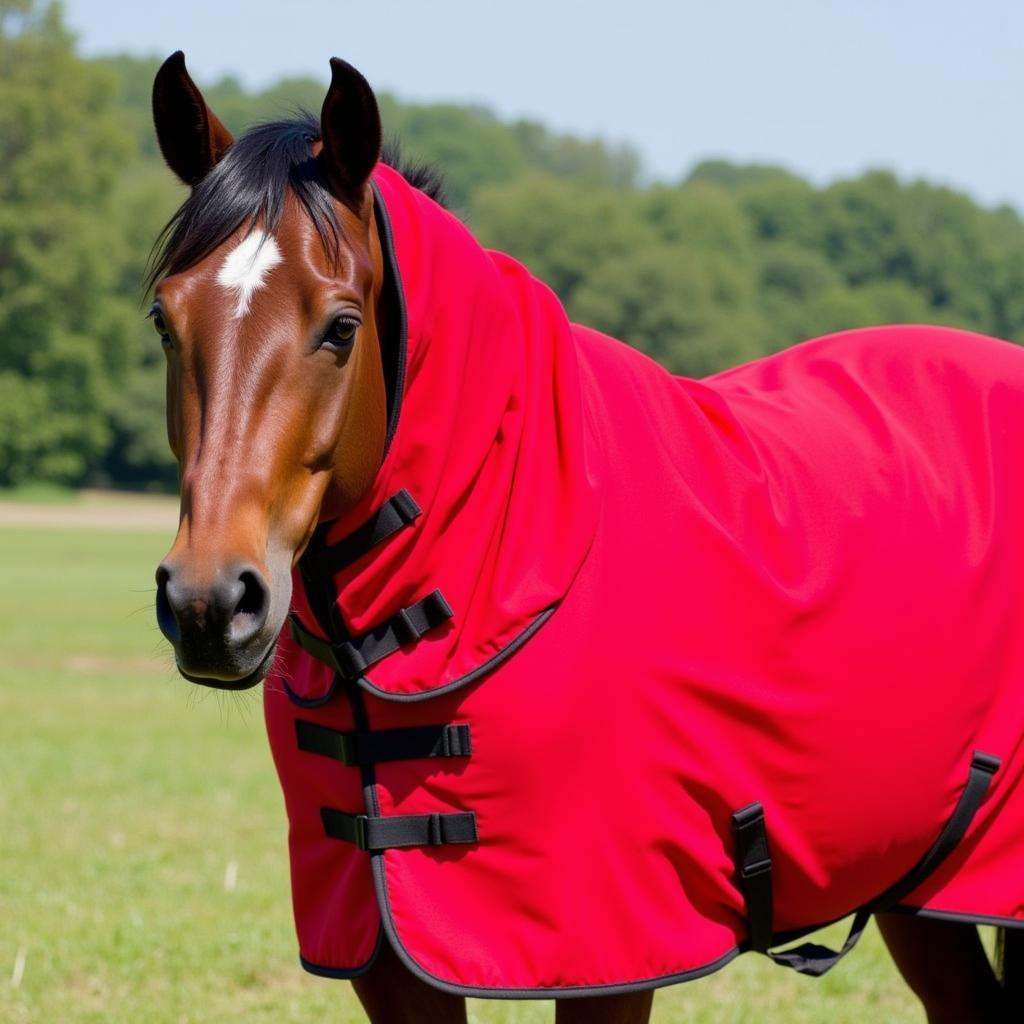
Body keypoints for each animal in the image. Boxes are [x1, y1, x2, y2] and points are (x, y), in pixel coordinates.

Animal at [149, 49, 1024, 1024]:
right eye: (164, 320)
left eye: (341, 327)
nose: (209, 601)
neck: (513, 533)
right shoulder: (382, 949)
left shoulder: (612, 948)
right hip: (916, 887)